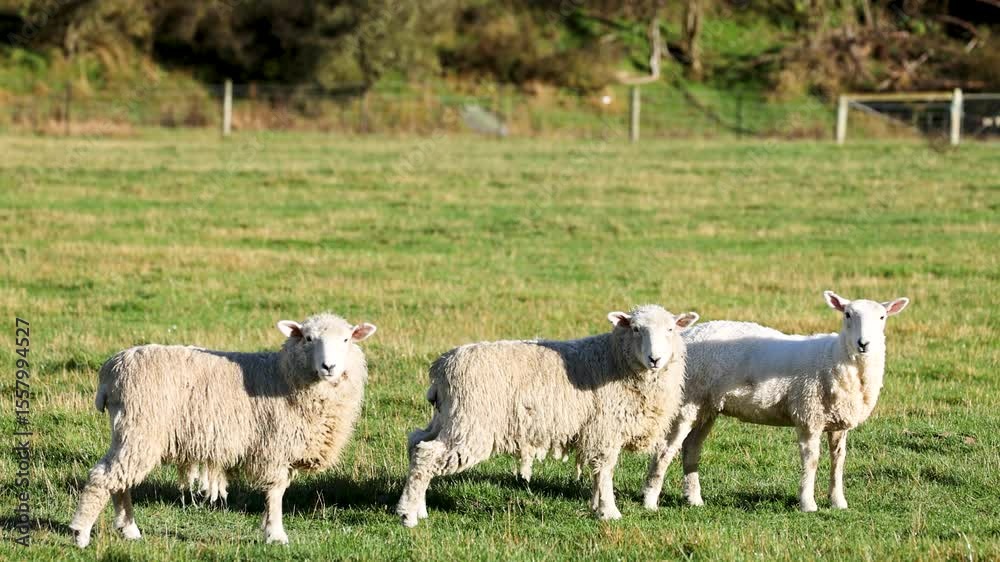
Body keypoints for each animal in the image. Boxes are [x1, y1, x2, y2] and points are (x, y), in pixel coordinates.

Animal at [69, 313, 377, 547]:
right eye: (308, 338)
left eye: (346, 340)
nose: (329, 366)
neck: (284, 375)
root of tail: (111, 369)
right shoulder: (275, 445)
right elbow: (276, 492)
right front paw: (275, 534)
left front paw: (270, 529)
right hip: (140, 429)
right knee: (104, 477)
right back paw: (81, 533)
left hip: (131, 434)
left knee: (119, 481)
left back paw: (129, 530)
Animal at [396, 304, 699, 527]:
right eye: (636, 329)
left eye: (670, 329)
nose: (655, 359)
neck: (615, 361)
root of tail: (442, 366)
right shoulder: (605, 429)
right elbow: (605, 470)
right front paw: (609, 511)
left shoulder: (597, 430)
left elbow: (597, 472)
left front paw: (595, 505)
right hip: (471, 424)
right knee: (427, 455)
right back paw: (409, 516)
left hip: (448, 418)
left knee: (416, 442)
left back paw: (416, 507)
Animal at [641, 290, 909, 513]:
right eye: (847, 314)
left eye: (882, 317)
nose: (864, 344)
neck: (834, 356)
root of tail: (686, 334)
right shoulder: (808, 414)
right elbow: (811, 460)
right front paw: (808, 504)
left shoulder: (838, 421)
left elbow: (838, 461)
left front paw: (838, 502)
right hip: (684, 402)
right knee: (665, 450)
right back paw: (650, 501)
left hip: (706, 406)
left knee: (691, 448)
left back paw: (694, 499)